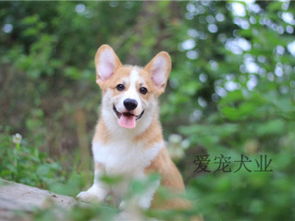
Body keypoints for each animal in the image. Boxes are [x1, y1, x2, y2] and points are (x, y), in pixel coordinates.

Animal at [77, 44, 188, 210]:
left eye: (143, 90)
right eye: (120, 87)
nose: (130, 103)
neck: (123, 134)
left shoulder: (149, 173)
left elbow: (140, 195)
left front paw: (132, 207)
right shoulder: (102, 164)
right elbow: (100, 185)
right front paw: (91, 196)